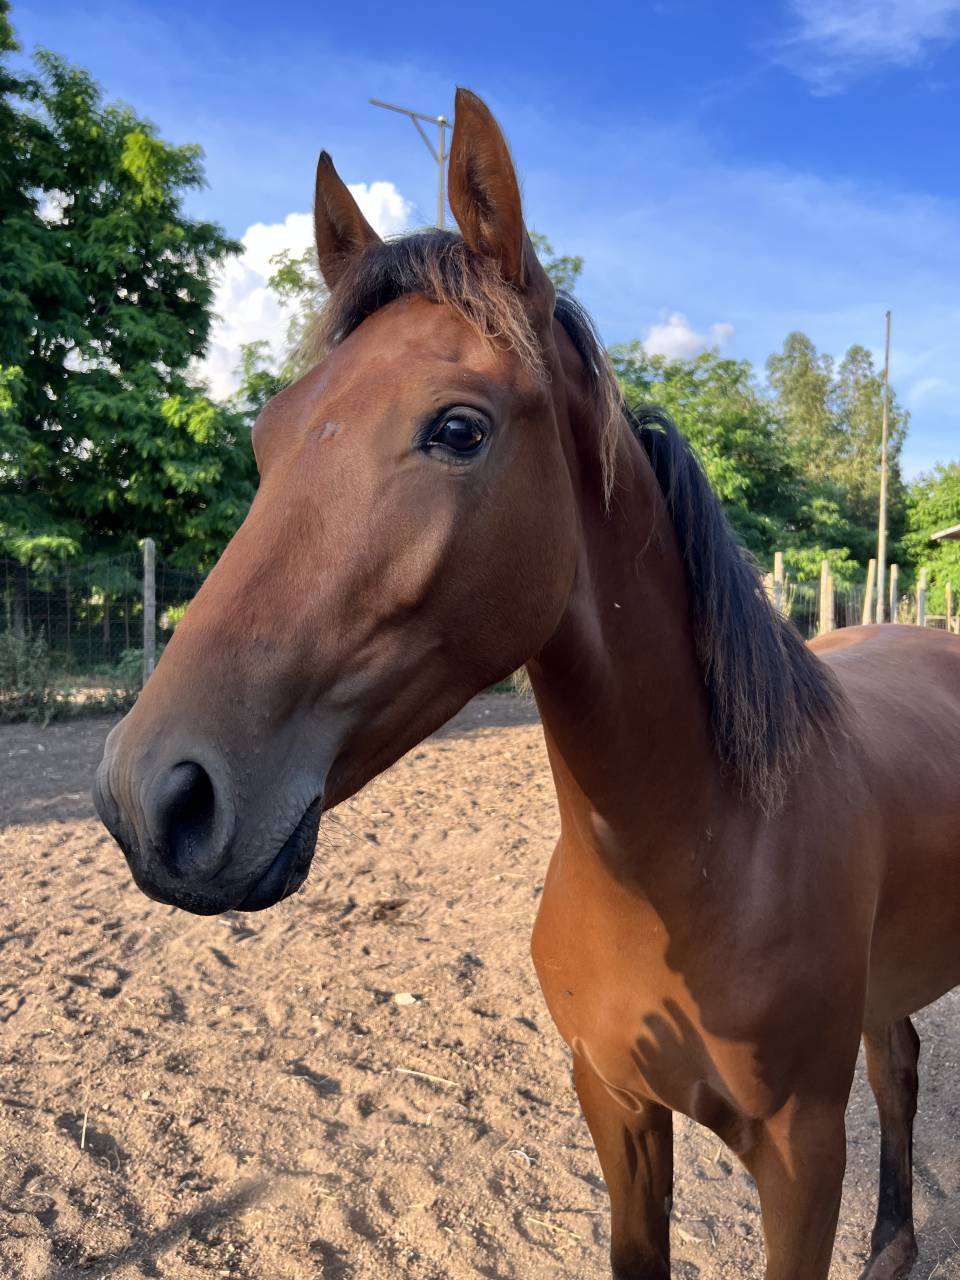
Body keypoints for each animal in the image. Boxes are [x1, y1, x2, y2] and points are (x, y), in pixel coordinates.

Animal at [93, 88, 960, 1279]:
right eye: (268, 434)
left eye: (458, 428)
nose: (151, 796)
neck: (705, 850)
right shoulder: (616, 1102)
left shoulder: (801, 1156)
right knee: (901, 1056)